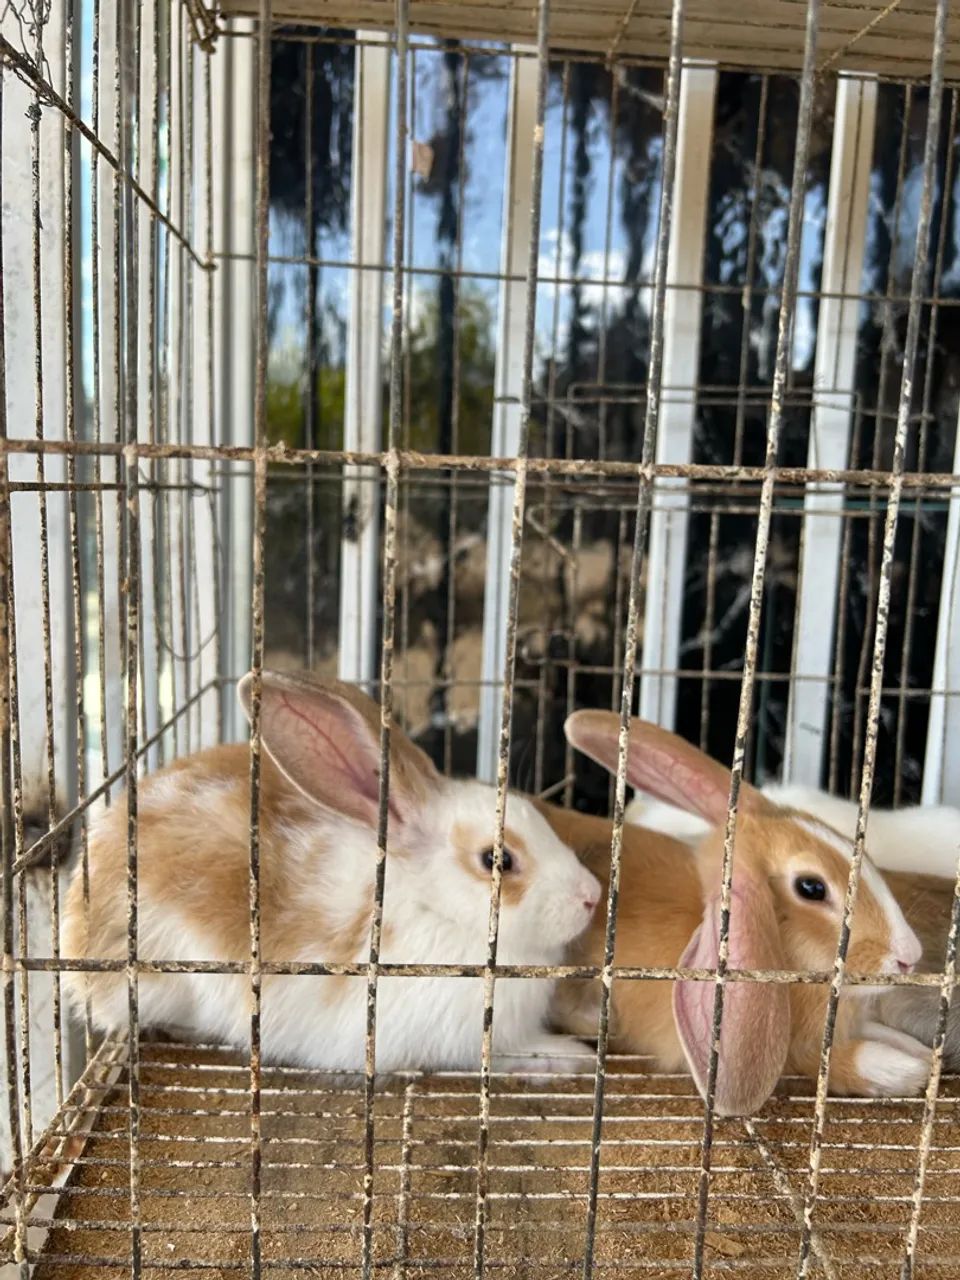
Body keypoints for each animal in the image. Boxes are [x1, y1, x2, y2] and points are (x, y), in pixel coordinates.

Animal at [62, 670, 602, 1076]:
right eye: (498, 860)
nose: (592, 896)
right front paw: (571, 1056)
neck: (433, 907)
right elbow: (513, 1052)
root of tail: (74, 928)